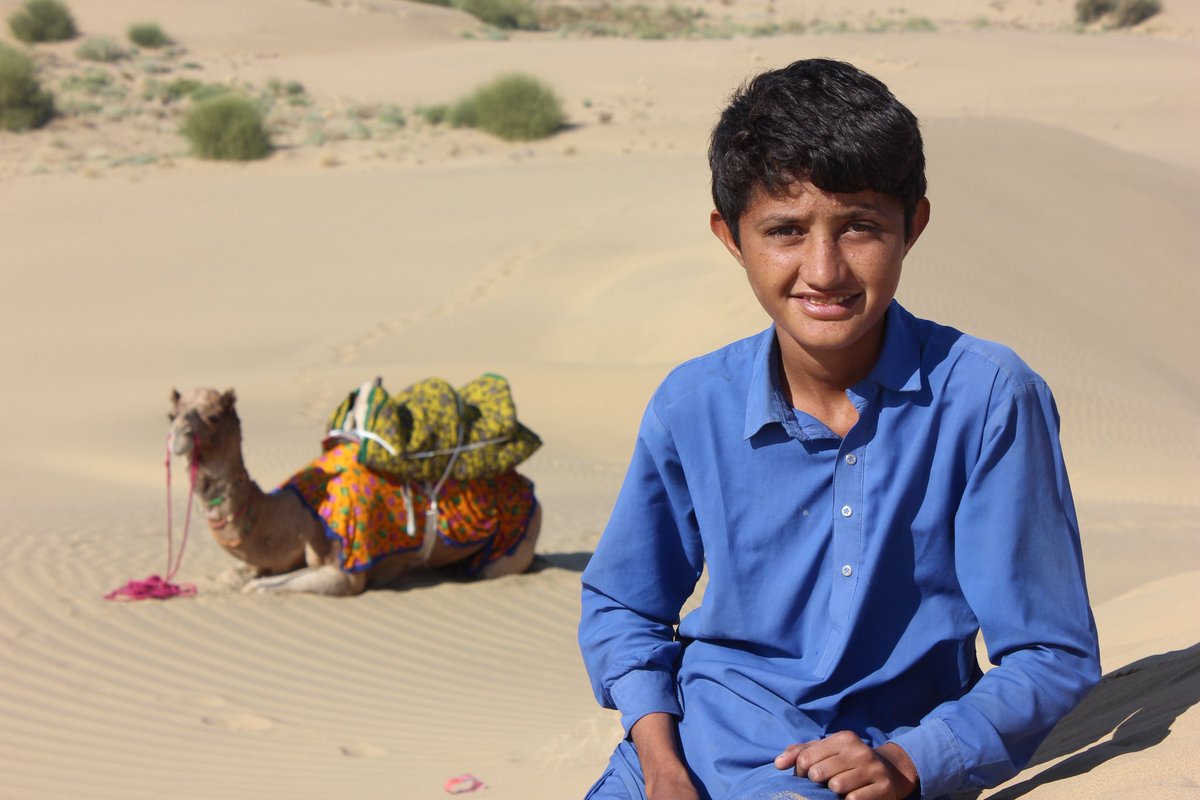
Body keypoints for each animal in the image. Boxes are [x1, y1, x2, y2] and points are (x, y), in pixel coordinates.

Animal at [168, 388, 542, 596]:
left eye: (214, 416)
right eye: (171, 414)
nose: (177, 438)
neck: (296, 514)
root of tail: (529, 488)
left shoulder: (347, 569)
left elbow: (262, 588)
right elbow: (241, 576)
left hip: (511, 546)